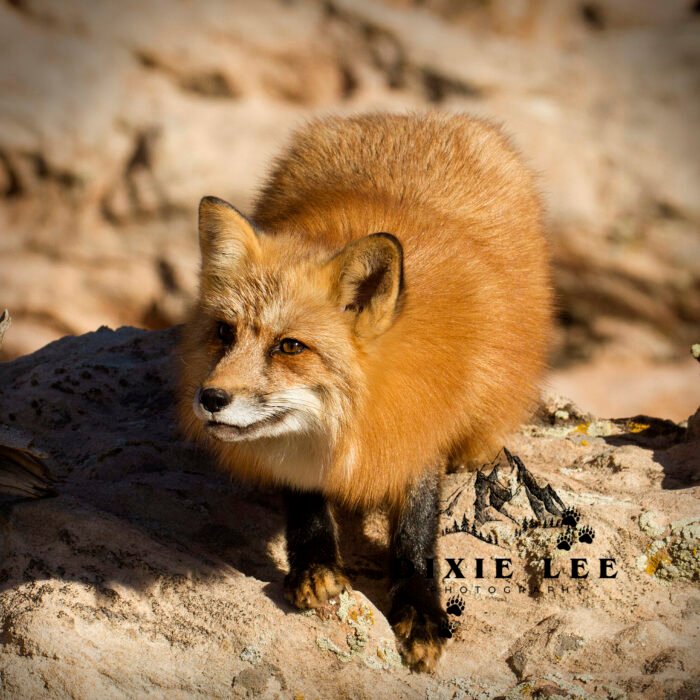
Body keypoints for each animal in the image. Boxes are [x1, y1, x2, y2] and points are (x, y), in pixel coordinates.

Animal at [178, 112, 552, 672]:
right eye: (225, 333)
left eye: (290, 346)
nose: (211, 398)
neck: (357, 415)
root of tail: (412, 117)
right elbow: (305, 501)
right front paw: (313, 566)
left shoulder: (422, 416)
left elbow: (415, 530)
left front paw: (420, 612)